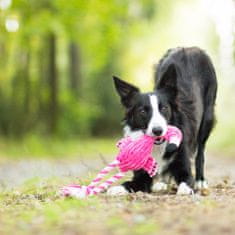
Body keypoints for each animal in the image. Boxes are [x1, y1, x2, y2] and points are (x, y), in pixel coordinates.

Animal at [107, 46, 218, 196]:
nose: (158, 130)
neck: (158, 146)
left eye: (164, 108)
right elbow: (130, 183)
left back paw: (200, 181)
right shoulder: (142, 175)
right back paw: (162, 183)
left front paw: (185, 189)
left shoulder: (183, 166)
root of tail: (189, 48)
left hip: (207, 118)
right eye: (142, 111)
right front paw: (117, 188)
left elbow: (186, 180)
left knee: (200, 152)